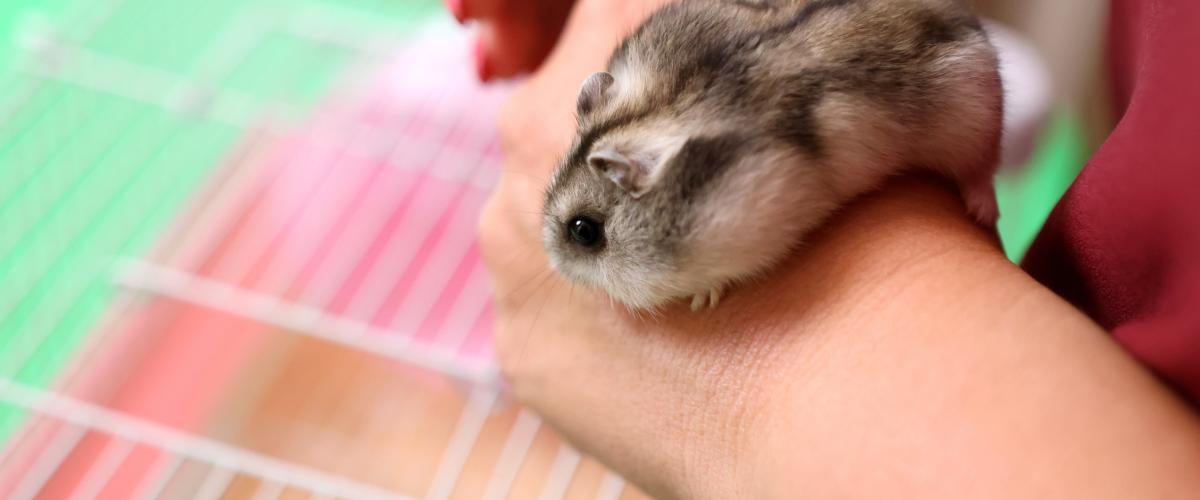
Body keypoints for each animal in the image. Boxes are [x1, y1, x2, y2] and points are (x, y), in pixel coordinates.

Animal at [542, 0, 1003, 311]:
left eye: (583, 231)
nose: (554, 264)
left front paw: (703, 299)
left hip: (974, 109)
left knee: (982, 167)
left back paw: (984, 210)